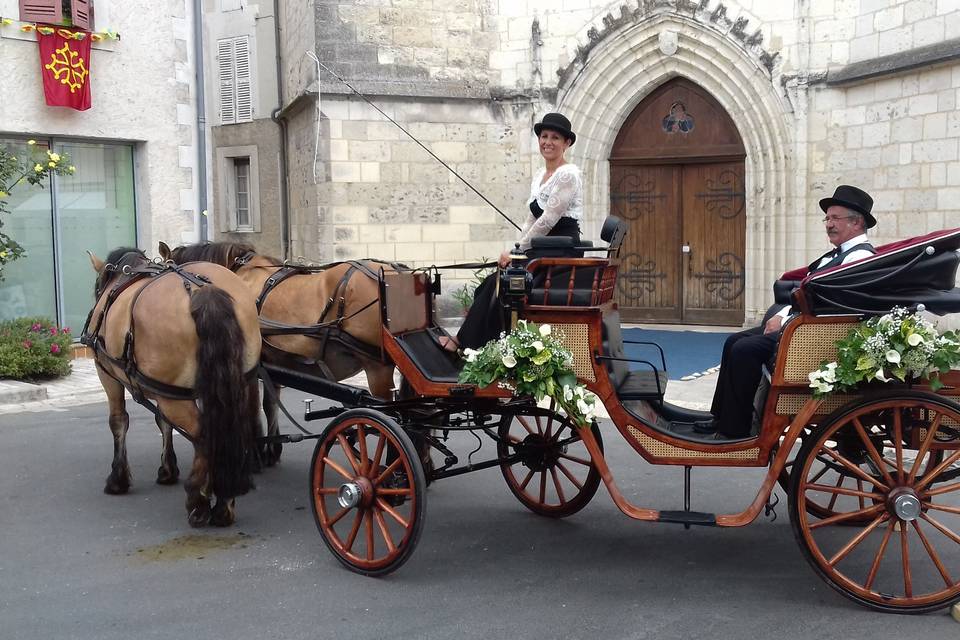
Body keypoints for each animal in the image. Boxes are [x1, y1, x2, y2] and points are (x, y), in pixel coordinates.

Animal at [82, 248, 260, 528]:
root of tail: (201, 290)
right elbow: (163, 423)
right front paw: (167, 469)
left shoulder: (107, 374)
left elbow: (119, 421)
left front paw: (118, 479)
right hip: (235, 384)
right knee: (225, 430)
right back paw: (224, 501)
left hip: (172, 397)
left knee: (204, 435)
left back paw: (198, 500)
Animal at [158, 240, 398, 464]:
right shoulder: (274, 362)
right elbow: (270, 403)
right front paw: (272, 448)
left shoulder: (251, 366)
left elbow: (253, 407)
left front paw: (256, 451)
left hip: (377, 369)